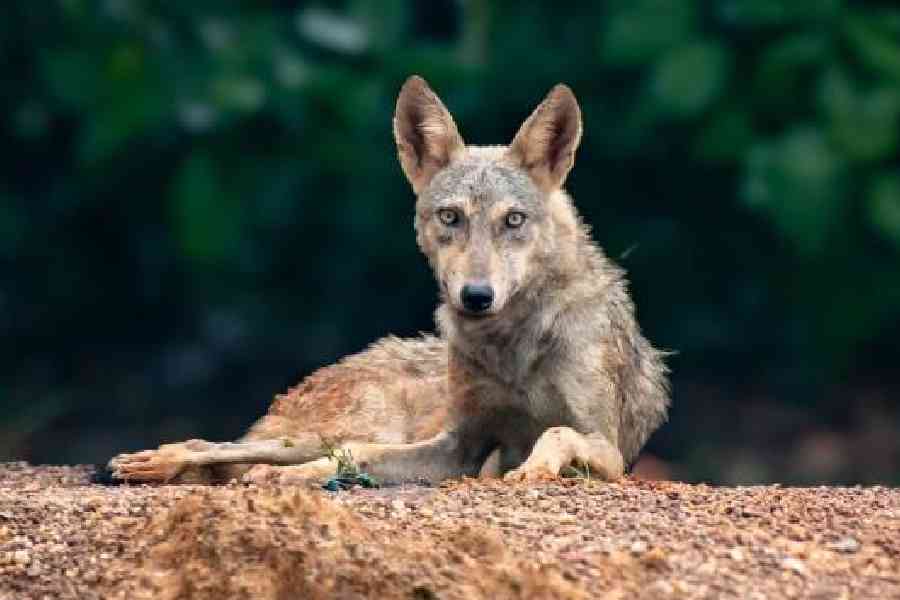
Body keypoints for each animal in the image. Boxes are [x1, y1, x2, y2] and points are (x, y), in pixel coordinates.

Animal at [107, 76, 670, 486]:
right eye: (450, 217)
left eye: (513, 220)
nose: (476, 296)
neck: (511, 346)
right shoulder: (460, 444)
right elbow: (360, 454)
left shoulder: (608, 448)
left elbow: (555, 433)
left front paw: (533, 468)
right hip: (336, 429)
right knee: (241, 447)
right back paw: (157, 461)